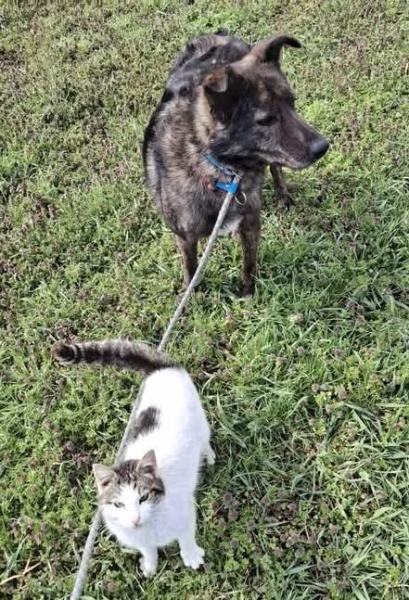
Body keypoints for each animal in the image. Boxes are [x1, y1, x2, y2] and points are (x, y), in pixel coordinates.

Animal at [52, 339, 215, 577]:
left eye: (143, 498)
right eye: (118, 505)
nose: (135, 520)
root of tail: (161, 369)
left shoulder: (185, 513)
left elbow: (186, 538)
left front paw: (191, 556)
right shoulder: (137, 538)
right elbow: (148, 551)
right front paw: (150, 566)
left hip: (200, 421)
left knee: (204, 439)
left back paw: (208, 456)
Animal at [143, 32, 329, 295]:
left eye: (292, 102)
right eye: (266, 120)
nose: (323, 147)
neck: (220, 170)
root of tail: (218, 35)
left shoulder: (251, 222)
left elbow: (249, 264)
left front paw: (247, 295)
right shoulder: (185, 236)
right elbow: (191, 267)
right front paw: (191, 294)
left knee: (275, 167)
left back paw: (283, 195)